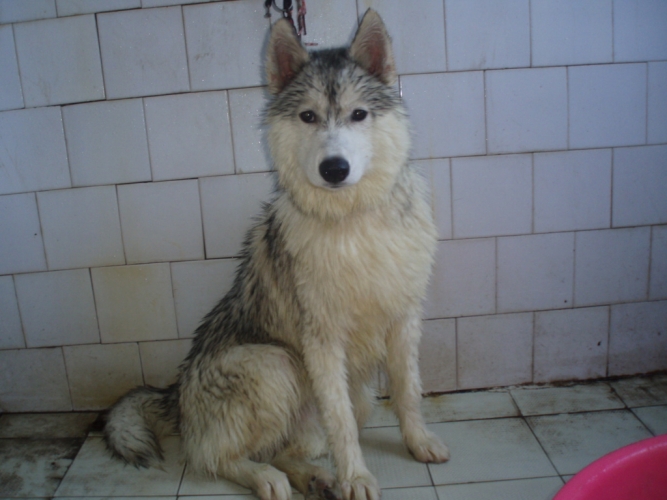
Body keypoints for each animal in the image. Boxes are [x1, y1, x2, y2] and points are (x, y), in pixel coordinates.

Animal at [104, 10, 449, 500]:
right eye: (308, 116)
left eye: (358, 115)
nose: (334, 169)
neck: (350, 222)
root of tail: (175, 392)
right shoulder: (321, 340)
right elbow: (342, 426)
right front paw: (357, 478)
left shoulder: (404, 319)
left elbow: (407, 391)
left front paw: (417, 443)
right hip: (275, 364)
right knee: (216, 457)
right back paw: (271, 479)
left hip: (352, 396)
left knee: (286, 447)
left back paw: (315, 478)